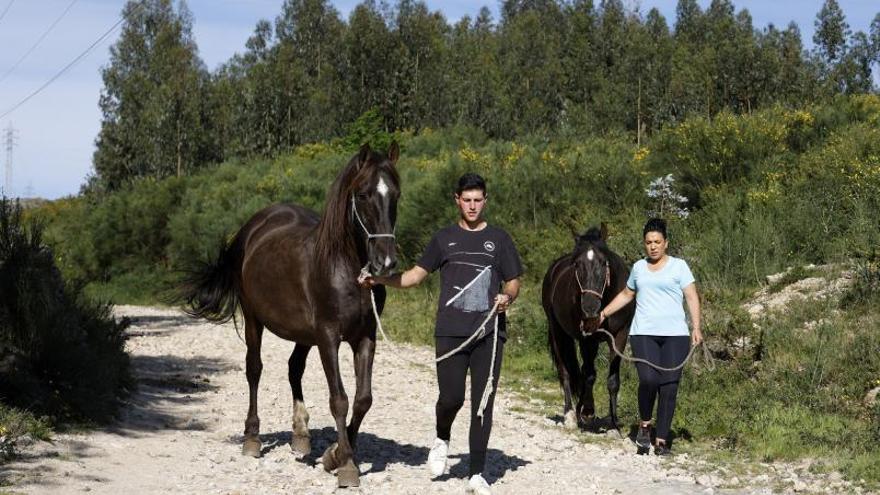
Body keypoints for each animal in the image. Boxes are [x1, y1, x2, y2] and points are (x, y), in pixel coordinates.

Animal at [184, 143, 400, 488]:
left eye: (395, 194)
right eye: (364, 194)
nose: (386, 263)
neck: (345, 268)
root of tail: (252, 227)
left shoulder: (365, 337)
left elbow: (363, 399)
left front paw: (334, 455)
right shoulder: (328, 336)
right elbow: (339, 399)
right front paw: (347, 465)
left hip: (303, 334)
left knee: (293, 368)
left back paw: (300, 433)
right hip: (255, 320)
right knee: (254, 369)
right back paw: (252, 438)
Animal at [544, 225, 632, 430]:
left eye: (604, 262)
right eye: (577, 264)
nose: (590, 308)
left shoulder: (620, 336)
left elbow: (612, 380)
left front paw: (614, 424)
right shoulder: (587, 338)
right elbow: (590, 374)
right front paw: (588, 411)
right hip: (558, 332)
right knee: (565, 371)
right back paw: (570, 414)